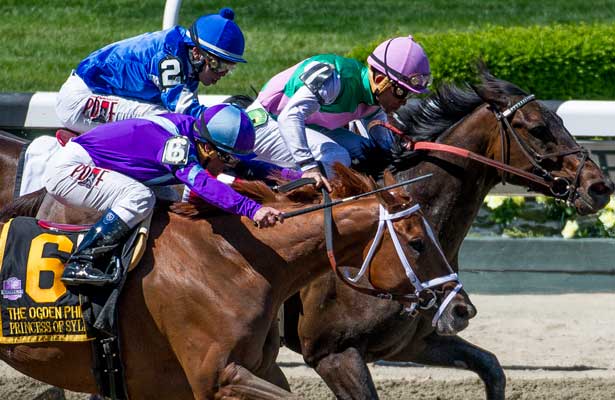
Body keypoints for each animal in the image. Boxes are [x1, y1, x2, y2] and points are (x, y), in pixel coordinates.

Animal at [282, 67, 612, 398]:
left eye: (561, 121)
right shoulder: (333, 353)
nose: (600, 187)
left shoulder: (417, 341)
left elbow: (492, 367)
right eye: (538, 128)